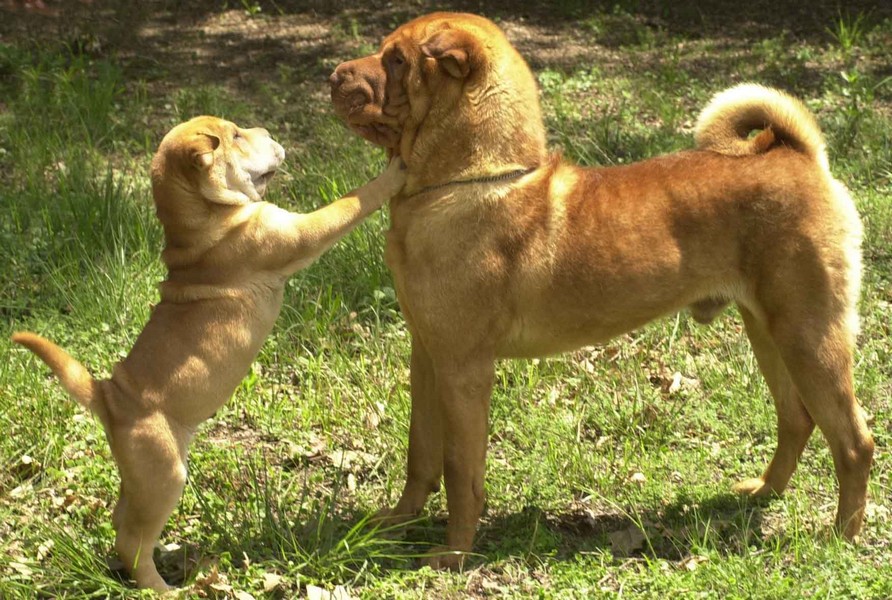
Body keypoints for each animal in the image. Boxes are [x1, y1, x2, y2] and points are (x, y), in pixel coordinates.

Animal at [13, 116, 404, 592]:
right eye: (235, 136)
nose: (264, 128)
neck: (201, 219)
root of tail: (108, 396)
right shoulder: (298, 232)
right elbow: (350, 203)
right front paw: (394, 170)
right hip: (164, 476)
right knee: (132, 540)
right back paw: (164, 589)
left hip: (144, 477)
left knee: (123, 520)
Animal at [332, 12, 876, 568]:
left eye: (397, 60)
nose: (334, 75)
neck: (470, 180)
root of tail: (798, 155)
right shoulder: (427, 355)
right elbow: (420, 453)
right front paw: (397, 524)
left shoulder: (464, 370)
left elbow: (462, 472)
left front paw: (453, 553)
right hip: (769, 334)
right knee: (797, 419)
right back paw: (765, 491)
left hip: (809, 337)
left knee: (854, 441)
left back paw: (841, 535)